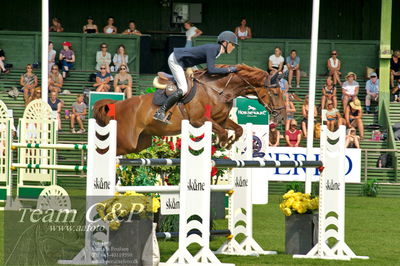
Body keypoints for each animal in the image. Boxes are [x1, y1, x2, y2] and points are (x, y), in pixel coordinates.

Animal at [92, 64, 286, 155]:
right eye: (276, 93)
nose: (282, 117)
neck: (217, 89)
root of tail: (116, 105)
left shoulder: (221, 120)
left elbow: (238, 129)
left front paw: (228, 144)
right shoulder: (199, 120)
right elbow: (223, 132)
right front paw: (221, 144)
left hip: (140, 144)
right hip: (126, 142)